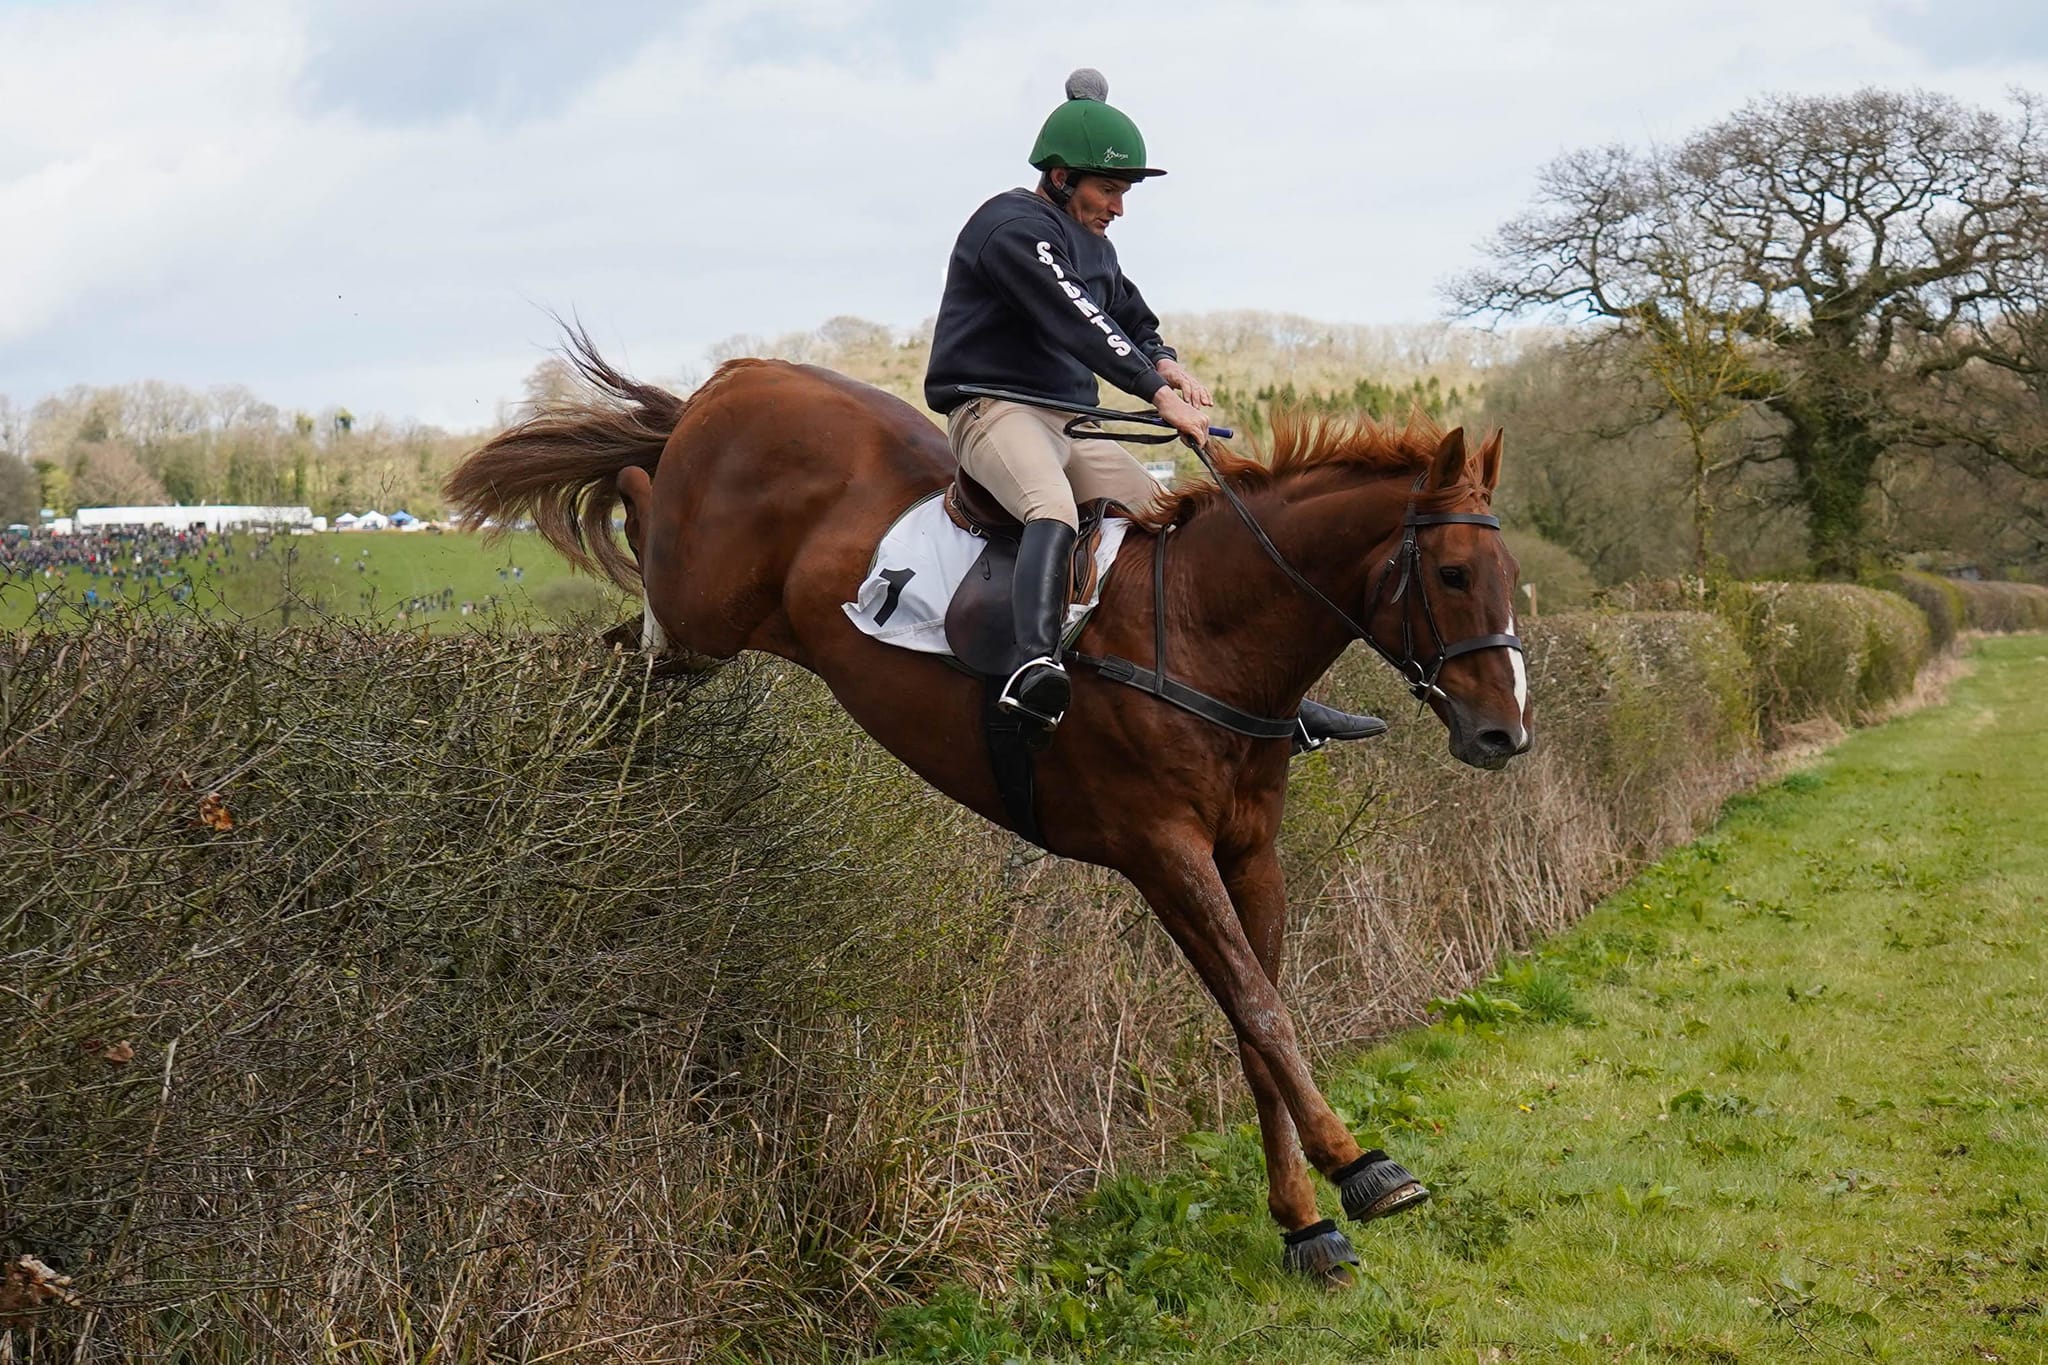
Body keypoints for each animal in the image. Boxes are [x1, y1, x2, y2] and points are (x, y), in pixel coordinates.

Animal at [452, 339, 1540, 1285]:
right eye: (1452, 574)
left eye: (1507, 577)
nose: (1504, 734)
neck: (1202, 628)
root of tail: (733, 380)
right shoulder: (1161, 849)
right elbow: (1263, 1010)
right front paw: (1360, 1165)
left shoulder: (1247, 850)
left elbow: (1251, 1018)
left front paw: (1304, 1222)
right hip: (699, 612)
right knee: (642, 535)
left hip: (699, 637)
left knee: (632, 637)